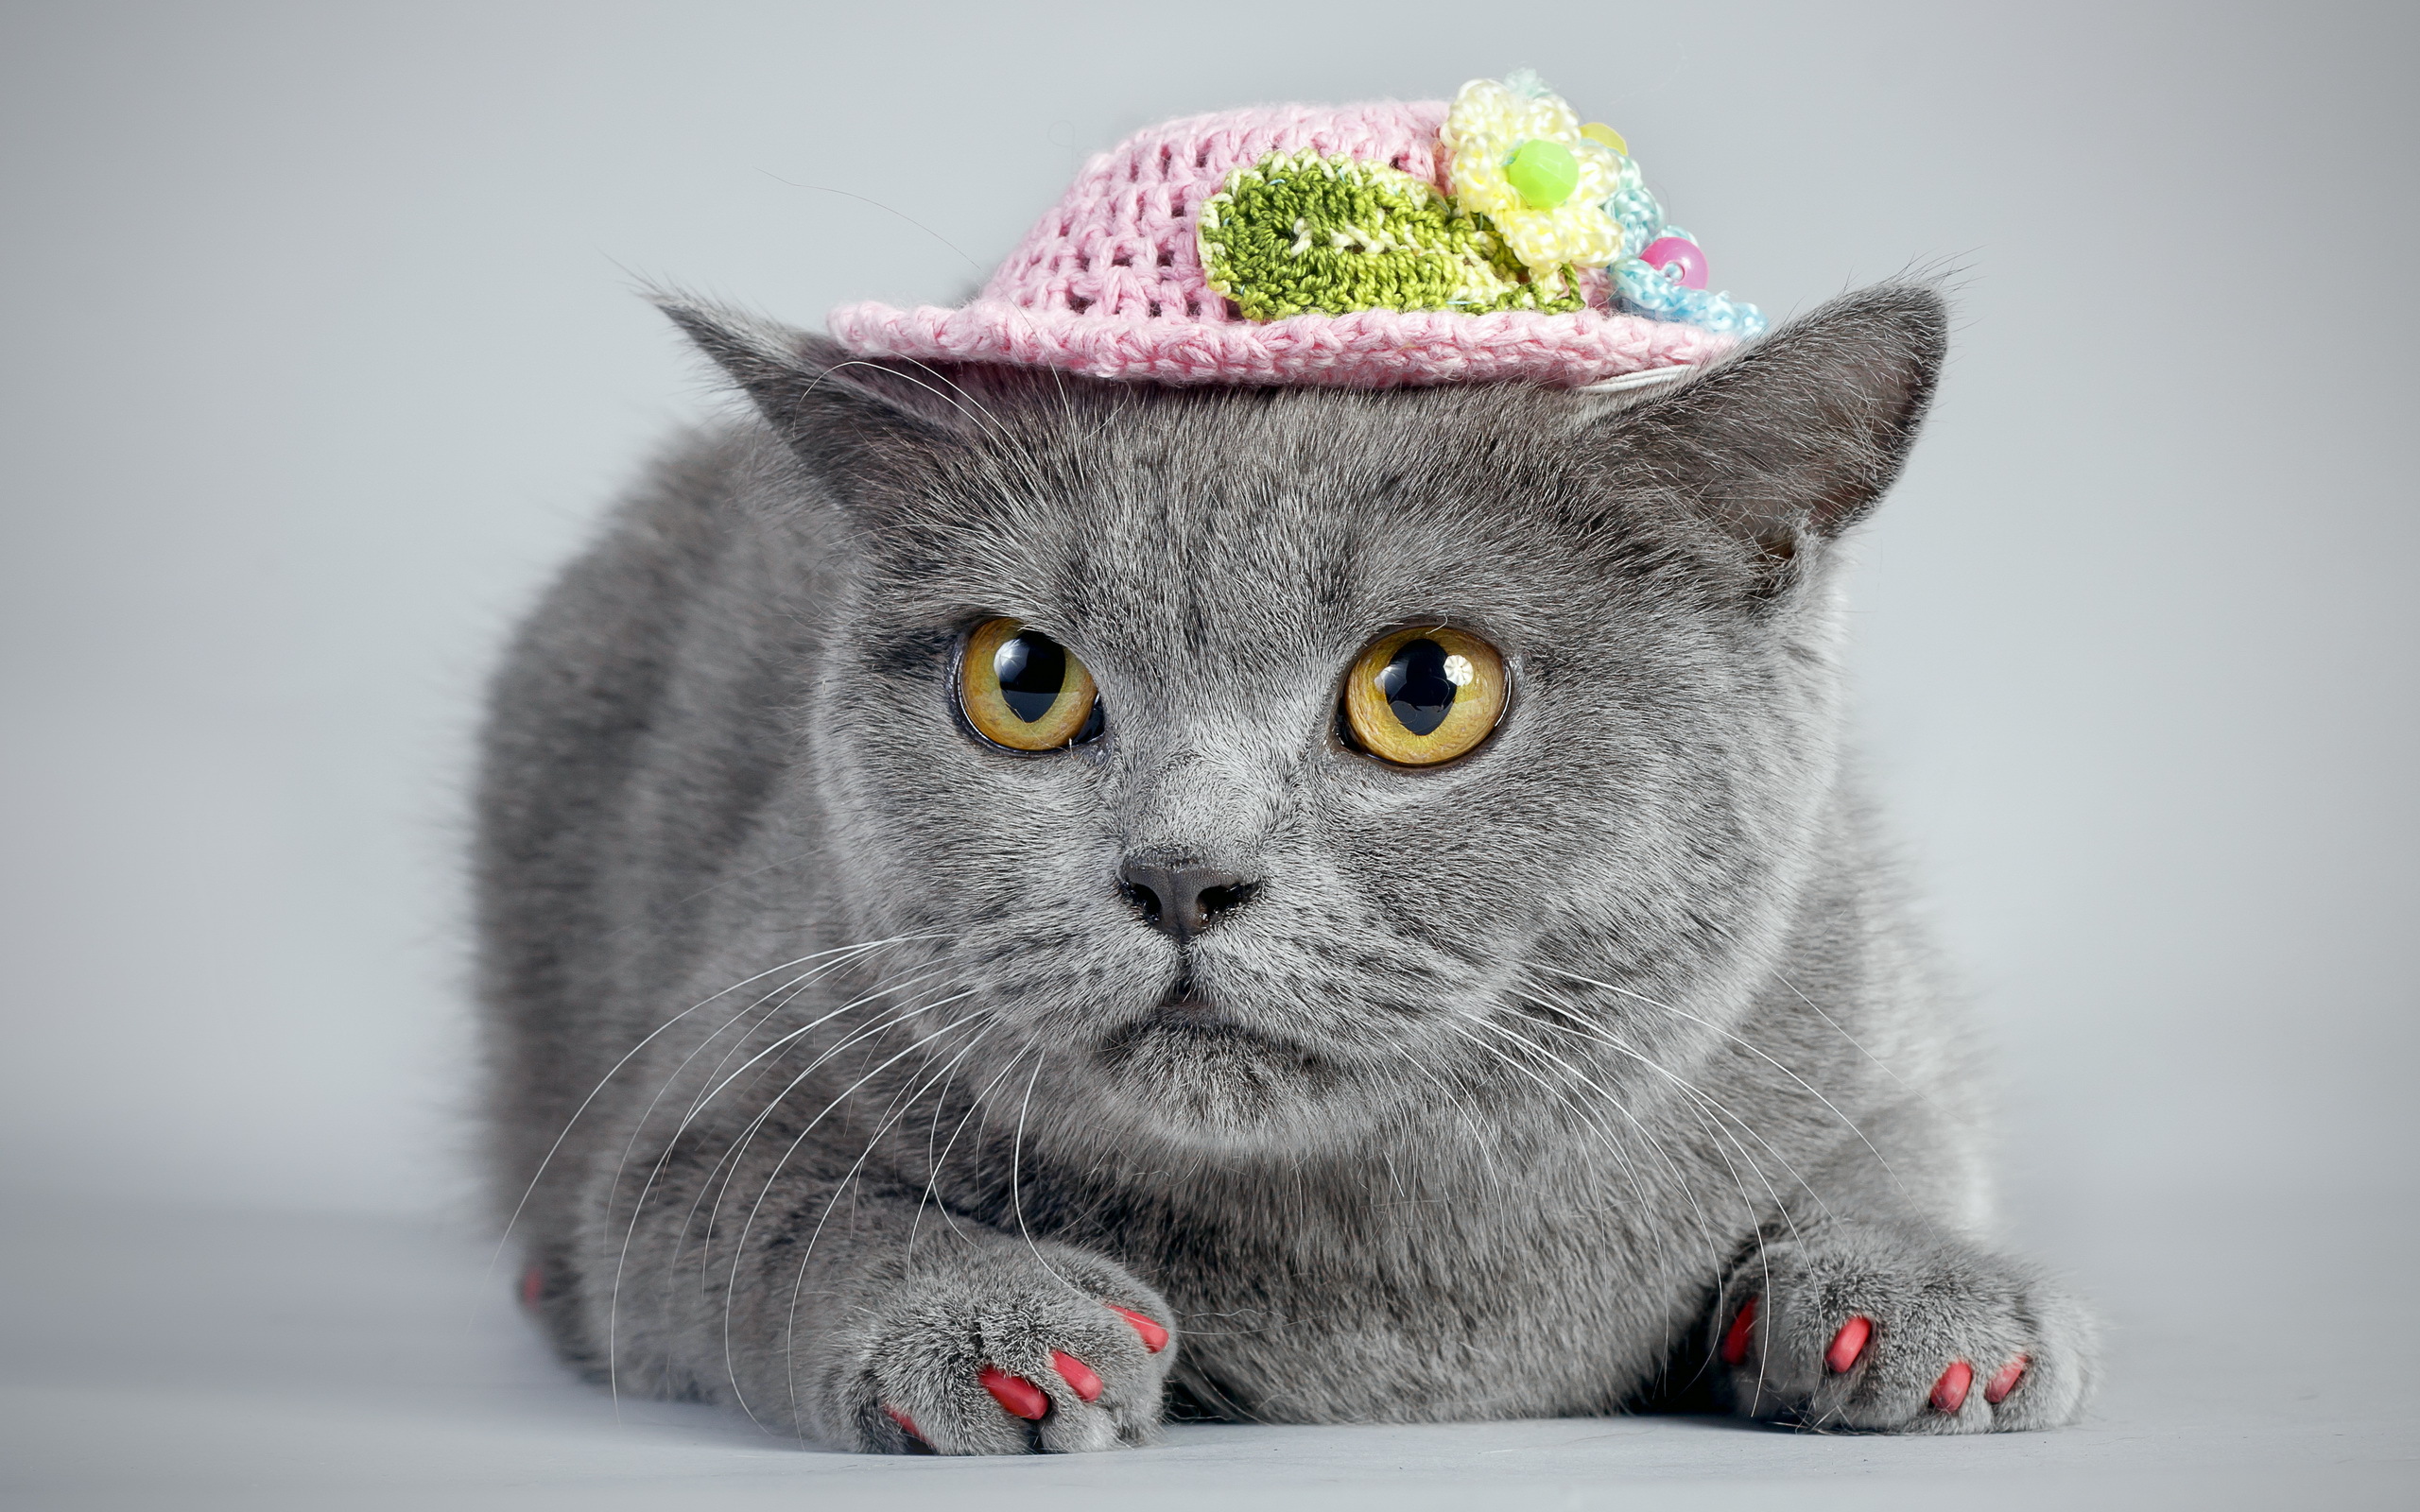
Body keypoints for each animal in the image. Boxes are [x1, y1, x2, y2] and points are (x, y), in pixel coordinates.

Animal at [476, 283, 2100, 1452]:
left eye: (1427, 690)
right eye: (1021, 682)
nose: (1182, 875)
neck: (1388, 1279)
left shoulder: (1860, 985)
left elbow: (1903, 1145)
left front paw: (1927, 1299)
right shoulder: (714, 1102)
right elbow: (765, 1222)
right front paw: (985, 1320)